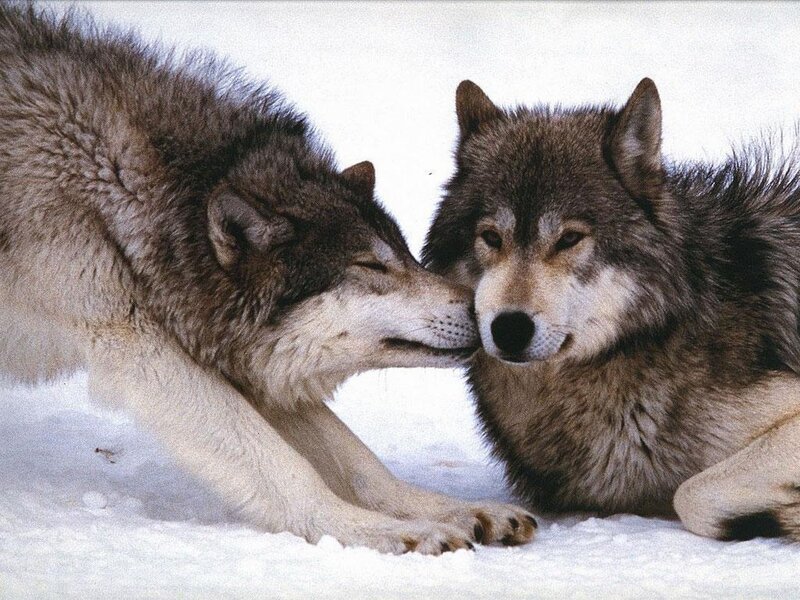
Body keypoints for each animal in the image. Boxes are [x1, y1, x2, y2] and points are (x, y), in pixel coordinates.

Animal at [0, 4, 537, 553]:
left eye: (409, 256)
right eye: (372, 265)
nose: (486, 310)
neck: (121, 192)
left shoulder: (235, 356)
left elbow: (359, 461)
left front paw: (455, 511)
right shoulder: (135, 345)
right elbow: (282, 466)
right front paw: (378, 531)